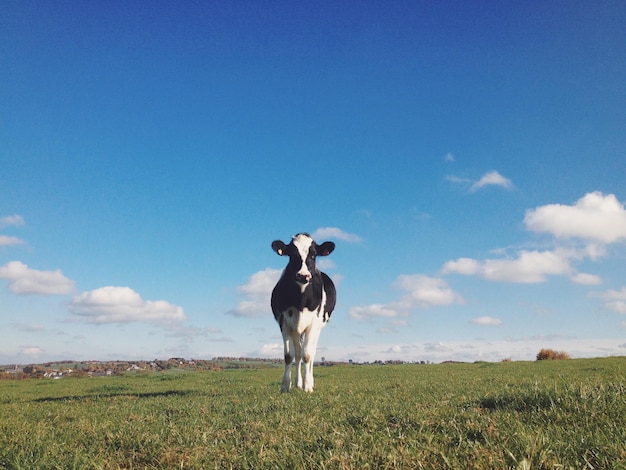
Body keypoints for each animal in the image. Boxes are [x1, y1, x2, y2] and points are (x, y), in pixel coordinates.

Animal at [3, 0, 624, 364]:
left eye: (316, 256)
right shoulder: (282, 320)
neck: (300, 295)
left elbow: (305, 356)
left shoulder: (312, 323)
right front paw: (285, 390)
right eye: (290, 256)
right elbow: (284, 356)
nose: (304, 273)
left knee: (311, 355)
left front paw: (302, 391)